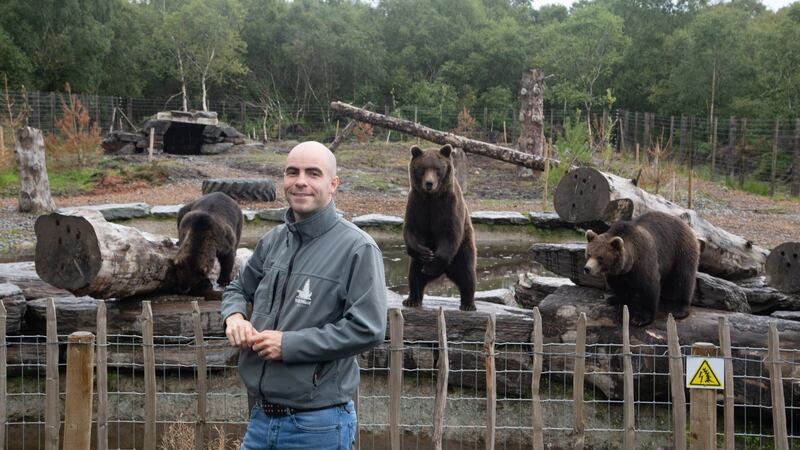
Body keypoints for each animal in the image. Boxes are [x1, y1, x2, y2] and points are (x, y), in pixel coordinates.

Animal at [402, 144, 477, 311]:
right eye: (423, 168)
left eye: (437, 169)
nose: (429, 183)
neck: (432, 198)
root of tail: (445, 272)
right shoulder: (418, 203)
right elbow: (412, 229)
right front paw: (426, 253)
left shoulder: (449, 205)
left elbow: (450, 233)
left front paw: (432, 263)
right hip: (416, 264)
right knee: (415, 275)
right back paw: (412, 299)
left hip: (463, 250)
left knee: (467, 274)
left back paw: (468, 304)